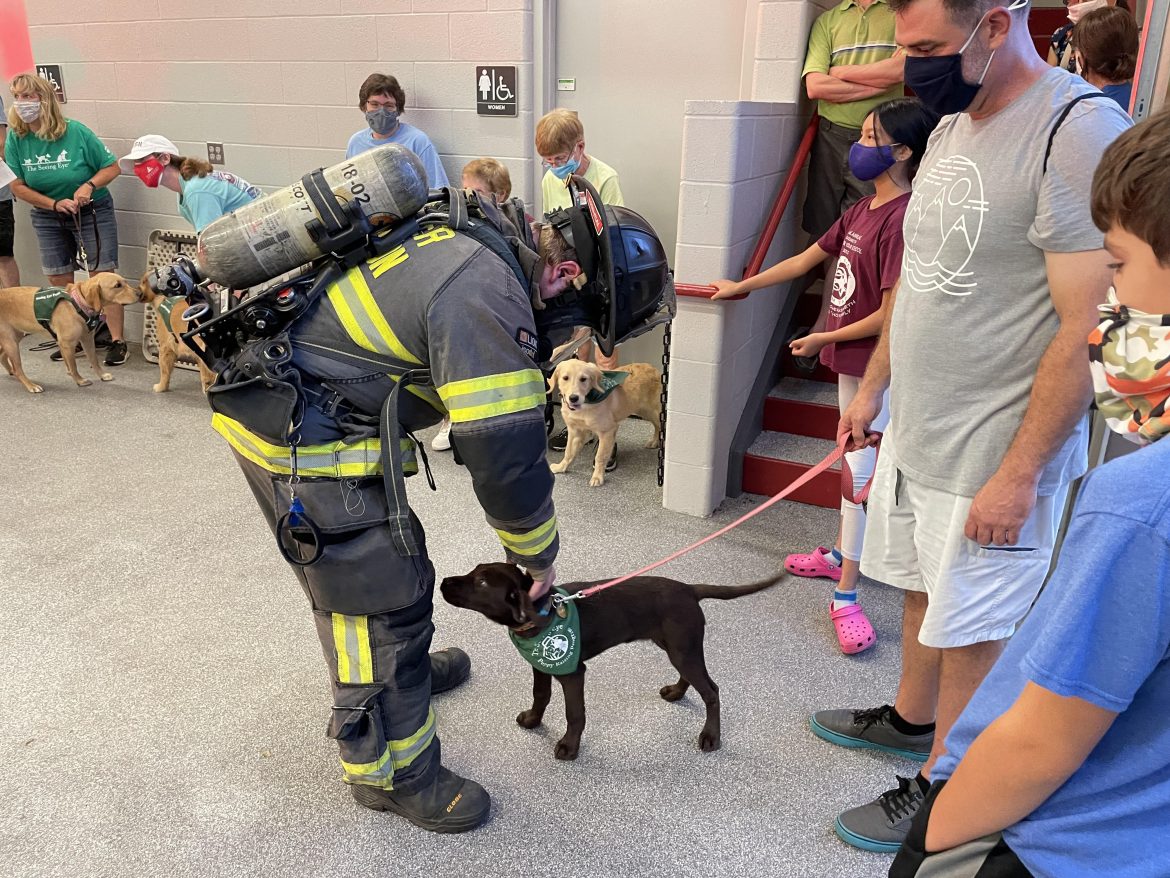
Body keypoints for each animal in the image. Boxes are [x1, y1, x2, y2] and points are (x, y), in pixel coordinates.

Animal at [545, 360, 659, 491]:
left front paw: (597, 477)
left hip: (653, 411)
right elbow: (568, 452)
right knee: (657, 426)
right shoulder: (575, 431)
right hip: (645, 412)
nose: (573, 398)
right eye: (565, 378)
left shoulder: (607, 431)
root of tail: (652, 367)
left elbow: (600, 456)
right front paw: (561, 467)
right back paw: (655, 442)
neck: (586, 404)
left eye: (583, 379)